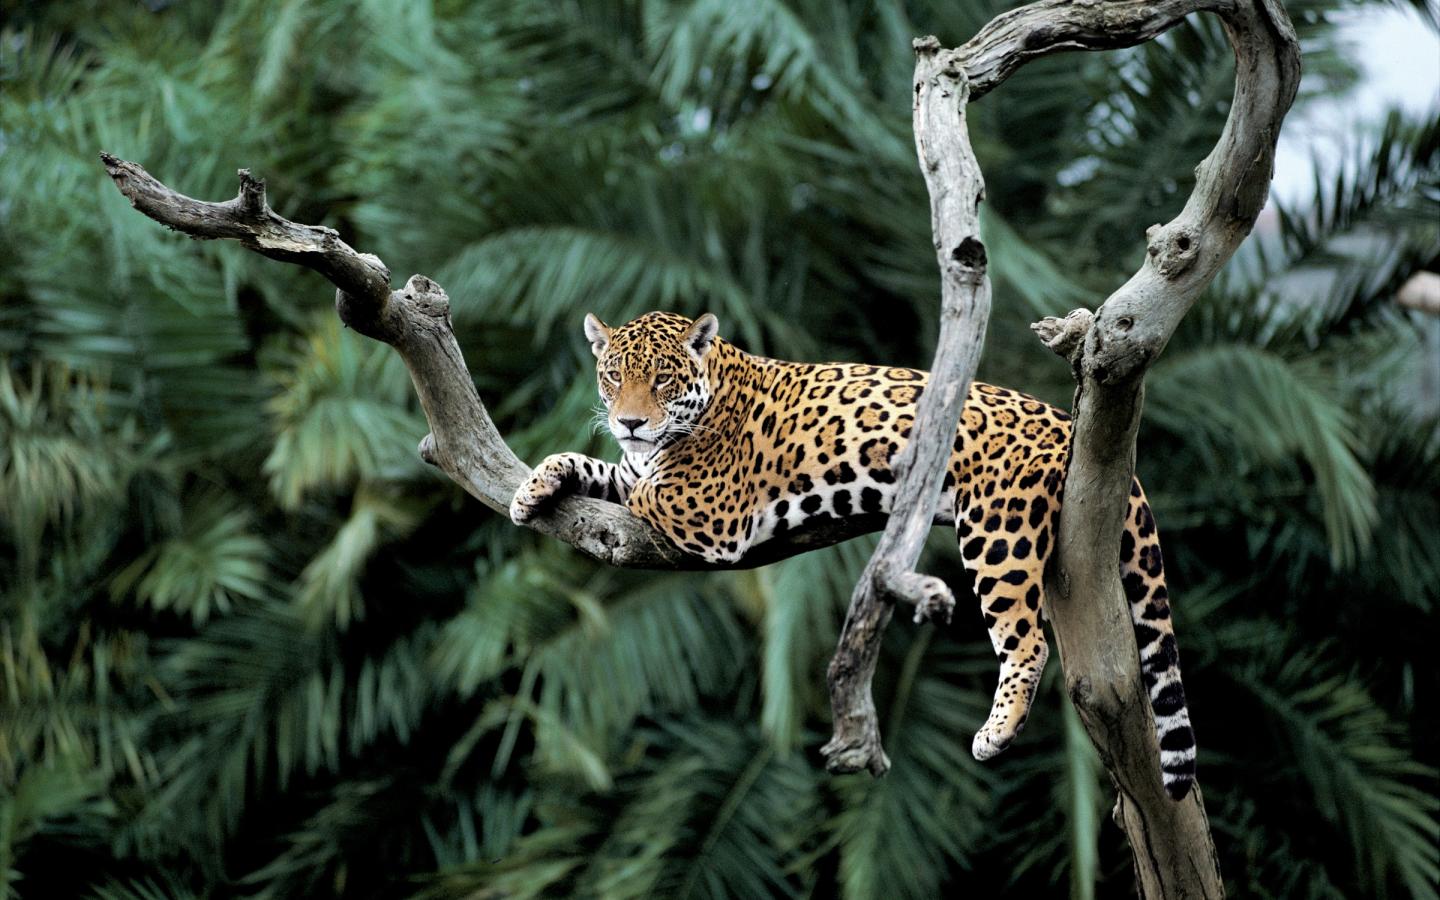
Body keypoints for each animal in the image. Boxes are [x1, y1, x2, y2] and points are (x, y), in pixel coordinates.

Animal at [510, 311, 1197, 800]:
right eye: (612, 377)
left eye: (663, 378)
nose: (629, 422)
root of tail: (1066, 421)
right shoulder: (639, 468)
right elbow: (600, 467)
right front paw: (533, 487)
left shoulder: (709, 508)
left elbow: (645, 486)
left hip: (997, 532)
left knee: (1026, 640)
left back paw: (996, 732)